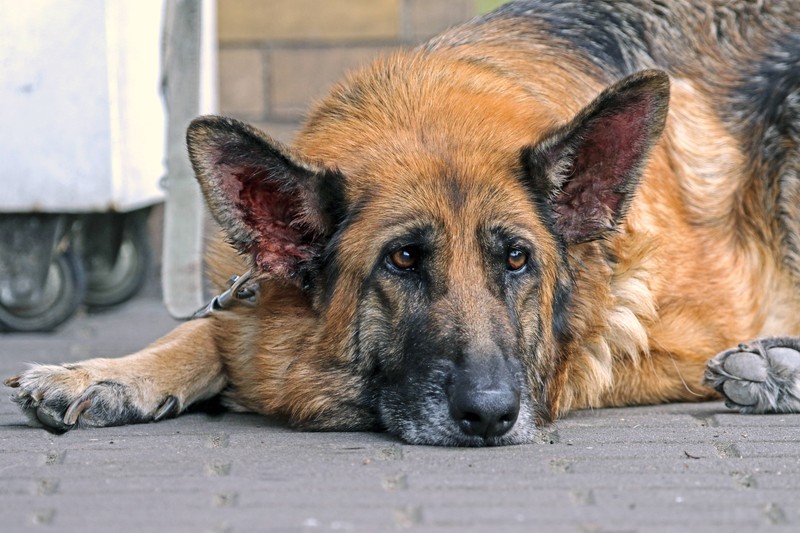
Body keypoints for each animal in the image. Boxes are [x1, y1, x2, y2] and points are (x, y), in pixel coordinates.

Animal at [6, 1, 800, 444]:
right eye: (403, 260)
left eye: (518, 260)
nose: (490, 416)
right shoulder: (253, 301)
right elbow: (208, 330)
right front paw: (106, 372)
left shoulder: (656, 337)